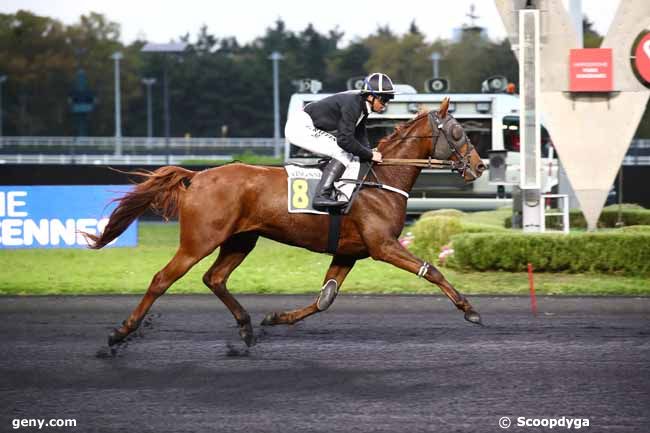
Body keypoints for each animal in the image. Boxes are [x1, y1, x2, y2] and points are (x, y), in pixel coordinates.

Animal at [88, 98, 486, 348]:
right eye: (457, 133)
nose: (480, 166)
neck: (379, 179)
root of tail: (197, 176)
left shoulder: (349, 252)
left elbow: (325, 298)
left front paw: (276, 317)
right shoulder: (382, 246)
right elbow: (431, 271)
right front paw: (470, 310)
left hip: (241, 240)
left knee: (214, 278)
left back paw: (247, 327)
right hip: (199, 240)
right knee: (162, 279)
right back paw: (120, 333)